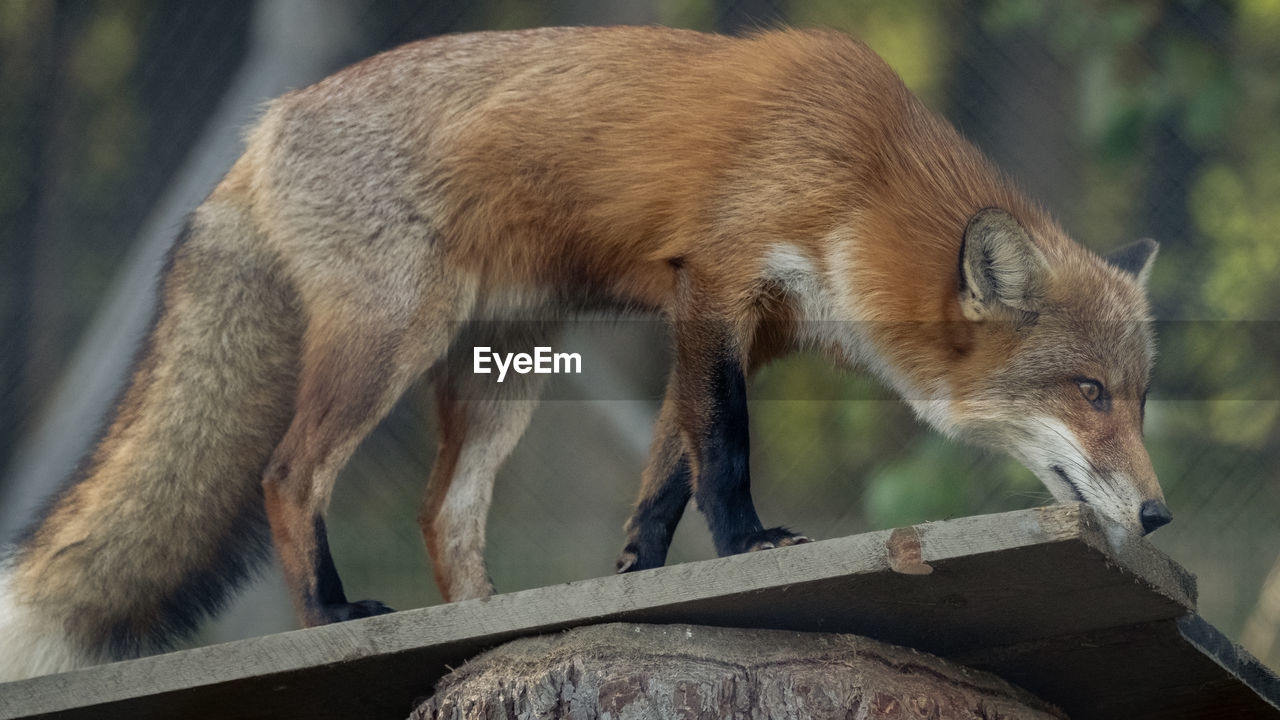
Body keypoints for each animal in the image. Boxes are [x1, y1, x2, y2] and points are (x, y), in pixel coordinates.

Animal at [0, 26, 1172, 676]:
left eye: (1137, 397)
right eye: (1086, 391)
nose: (1160, 514)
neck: (862, 173)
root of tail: (260, 129)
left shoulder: (743, 326)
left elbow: (665, 475)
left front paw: (634, 579)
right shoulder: (715, 282)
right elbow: (723, 454)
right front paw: (748, 546)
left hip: (501, 374)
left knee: (444, 516)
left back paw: (477, 620)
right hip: (391, 337)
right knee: (288, 474)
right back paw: (329, 612)